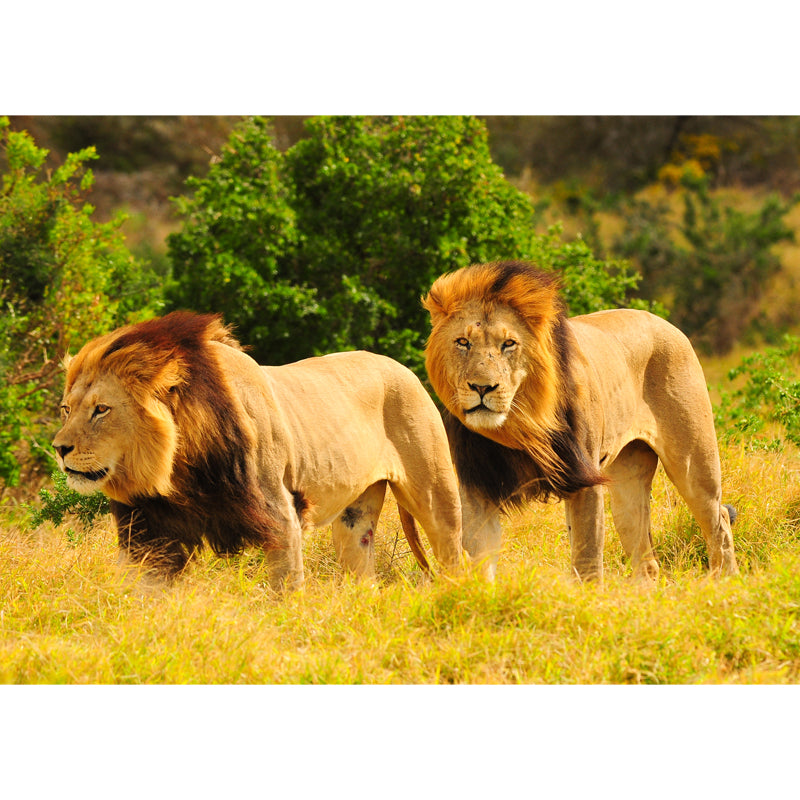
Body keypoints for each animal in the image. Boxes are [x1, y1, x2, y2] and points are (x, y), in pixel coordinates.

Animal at [52, 311, 463, 589]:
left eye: (101, 410)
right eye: (67, 409)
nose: (59, 448)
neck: (178, 472)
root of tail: (403, 367)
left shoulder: (281, 517)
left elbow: (284, 589)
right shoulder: (149, 534)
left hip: (435, 493)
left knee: (452, 550)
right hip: (355, 518)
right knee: (362, 567)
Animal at [422, 260, 738, 584]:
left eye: (508, 344)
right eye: (463, 343)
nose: (482, 387)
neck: (518, 424)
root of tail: (668, 324)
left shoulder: (584, 479)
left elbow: (587, 560)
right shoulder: (477, 488)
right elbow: (480, 562)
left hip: (693, 461)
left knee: (719, 522)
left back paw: (726, 582)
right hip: (628, 479)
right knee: (646, 558)